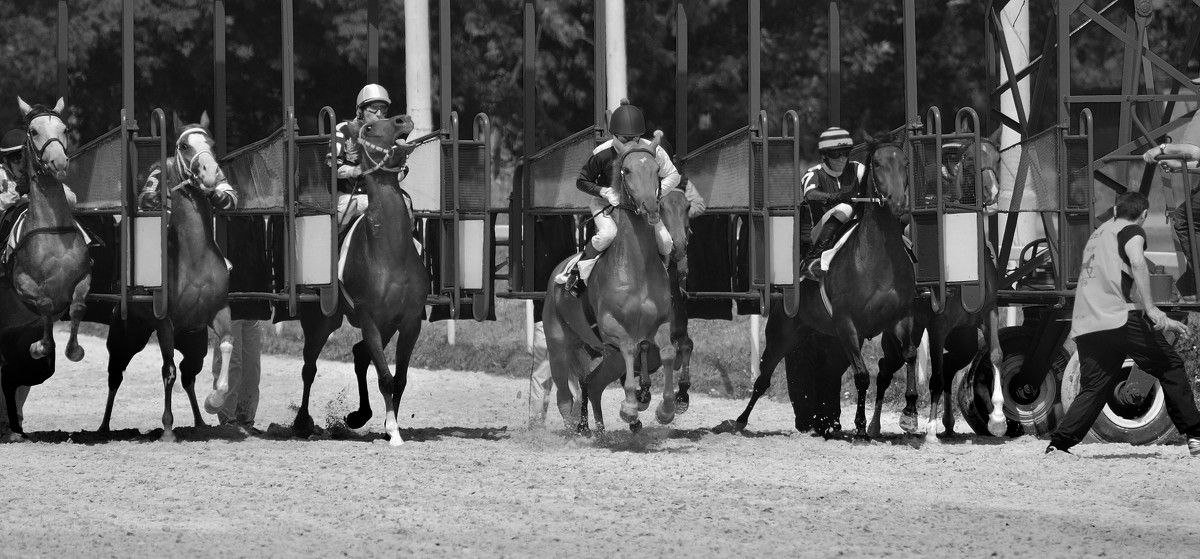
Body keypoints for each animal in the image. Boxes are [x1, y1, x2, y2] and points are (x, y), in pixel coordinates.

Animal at [0, 99, 91, 441]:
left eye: (64, 128)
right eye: (34, 131)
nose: (58, 162)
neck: (52, 230)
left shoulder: (83, 279)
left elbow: (76, 307)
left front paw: (73, 350)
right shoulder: (24, 285)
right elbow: (45, 304)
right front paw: (40, 346)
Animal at [102, 112, 237, 441]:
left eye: (212, 142)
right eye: (185, 145)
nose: (212, 173)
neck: (195, 258)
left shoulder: (218, 311)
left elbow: (227, 344)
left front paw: (215, 401)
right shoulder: (165, 323)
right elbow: (167, 371)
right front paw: (166, 429)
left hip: (194, 343)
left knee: (189, 376)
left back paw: (200, 421)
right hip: (125, 337)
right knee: (115, 376)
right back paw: (103, 427)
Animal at [295, 113, 427, 446]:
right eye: (368, 128)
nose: (404, 119)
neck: (389, 253)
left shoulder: (409, 322)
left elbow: (399, 379)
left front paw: (389, 424)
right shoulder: (369, 319)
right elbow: (385, 378)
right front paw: (393, 432)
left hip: (386, 325)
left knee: (359, 355)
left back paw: (360, 415)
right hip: (321, 321)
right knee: (309, 366)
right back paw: (301, 421)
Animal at [547, 134, 676, 431]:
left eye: (656, 170)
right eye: (626, 171)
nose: (651, 208)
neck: (636, 267)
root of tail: (557, 270)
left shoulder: (660, 323)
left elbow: (668, 352)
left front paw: (665, 409)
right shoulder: (610, 326)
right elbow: (630, 346)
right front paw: (630, 407)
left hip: (610, 357)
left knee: (592, 384)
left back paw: (596, 430)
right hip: (558, 347)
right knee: (564, 396)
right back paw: (575, 429)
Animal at [720, 139, 916, 436]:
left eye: (905, 163)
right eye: (878, 163)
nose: (898, 203)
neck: (877, 261)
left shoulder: (900, 318)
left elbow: (910, 355)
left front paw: (909, 412)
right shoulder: (847, 324)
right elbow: (862, 376)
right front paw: (860, 426)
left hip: (822, 337)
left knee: (826, 374)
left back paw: (826, 425)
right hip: (783, 333)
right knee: (763, 379)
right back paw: (740, 420)